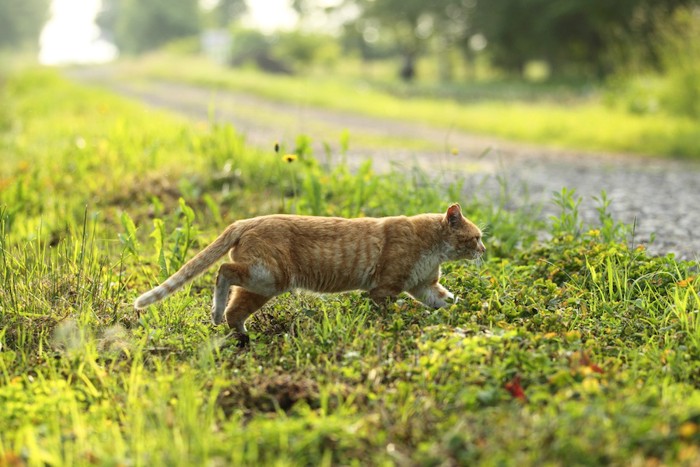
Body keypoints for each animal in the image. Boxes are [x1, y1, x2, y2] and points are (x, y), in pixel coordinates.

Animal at [134, 204, 484, 344]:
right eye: (476, 237)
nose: (484, 250)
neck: (432, 245)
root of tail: (246, 221)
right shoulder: (384, 289)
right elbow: (385, 314)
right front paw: (387, 328)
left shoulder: (425, 286)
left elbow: (448, 301)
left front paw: (468, 315)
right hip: (268, 276)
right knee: (223, 272)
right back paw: (216, 313)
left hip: (262, 287)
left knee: (236, 310)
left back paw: (243, 337)